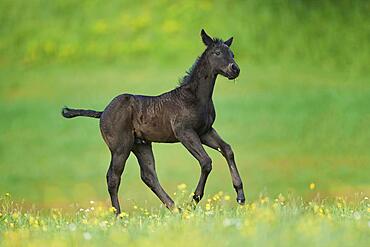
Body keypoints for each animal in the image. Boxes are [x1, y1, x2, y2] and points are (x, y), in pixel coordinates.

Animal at [61, 29, 246, 214]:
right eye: (217, 52)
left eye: (232, 54)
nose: (235, 69)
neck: (196, 98)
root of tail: (102, 113)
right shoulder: (184, 132)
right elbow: (206, 162)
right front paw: (193, 201)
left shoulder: (205, 131)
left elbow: (227, 150)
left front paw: (240, 196)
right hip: (120, 147)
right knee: (113, 177)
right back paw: (119, 215)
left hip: (140, 144)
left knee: (148, 175)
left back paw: (175, 208)